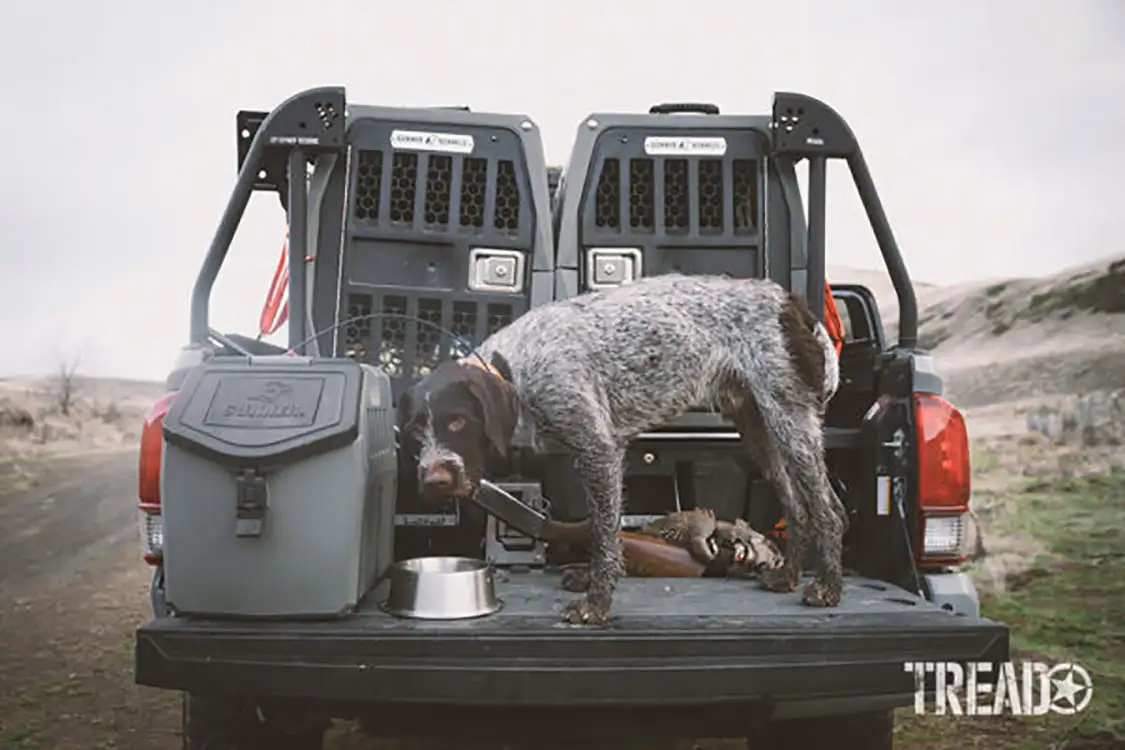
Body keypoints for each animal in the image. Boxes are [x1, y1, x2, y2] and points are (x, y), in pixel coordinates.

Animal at [396, 273, 846, 625]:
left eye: (458, 422)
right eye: (416, 432)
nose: (435, 481)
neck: (515, 370)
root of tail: (790, 301)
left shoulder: (598, 449)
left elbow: (604, 532)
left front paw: (596, 603)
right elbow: (600, 527)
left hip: (789, 419)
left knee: (828, 510)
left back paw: (827, 587)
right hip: (757, 428)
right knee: (797, 506)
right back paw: (787, 577)